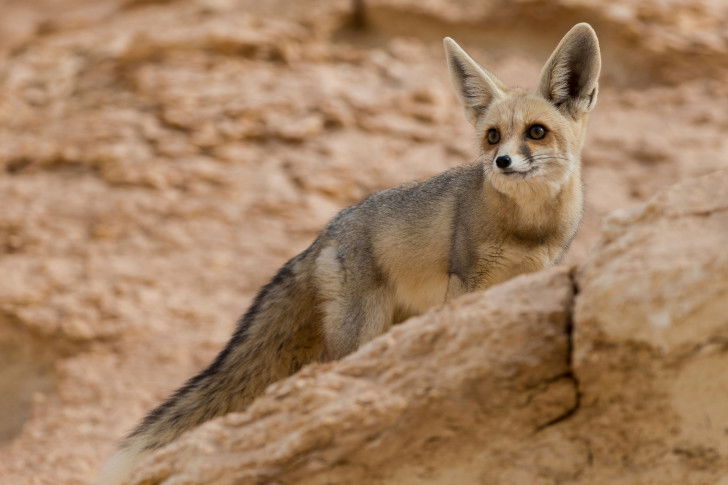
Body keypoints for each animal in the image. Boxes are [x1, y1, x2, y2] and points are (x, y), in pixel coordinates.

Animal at [99, 23, 601, 484]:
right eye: (493, 136)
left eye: (536, 133)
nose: (502, 163)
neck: (526, 227)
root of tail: (324, 232)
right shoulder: (467, 278)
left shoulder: (530, 274)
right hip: (362, 331)